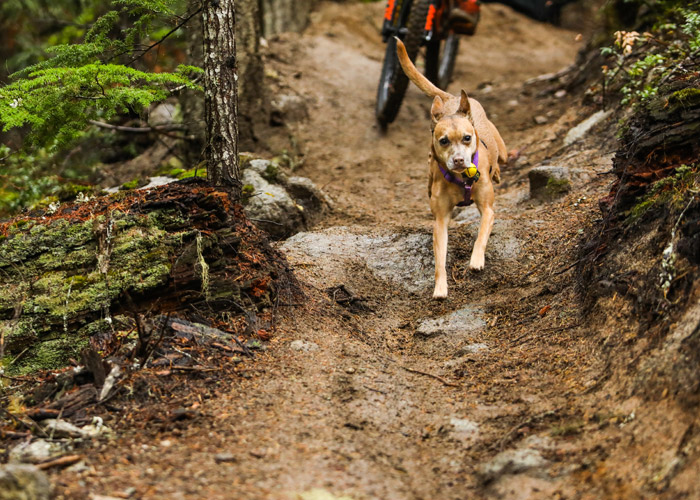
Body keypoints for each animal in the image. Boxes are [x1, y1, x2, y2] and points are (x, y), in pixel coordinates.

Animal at [396, 39, 506, 298]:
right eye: (444, 140)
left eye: (467, 138)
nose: (458, 160)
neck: (461, 178)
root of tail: (451, 100)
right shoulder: (440, 221)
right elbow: (439, 259)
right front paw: (440, 287)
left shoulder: (487, 209)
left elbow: (481, 235)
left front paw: (476, 260)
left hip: (503, 149)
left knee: (501, 160)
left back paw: (496, 171)